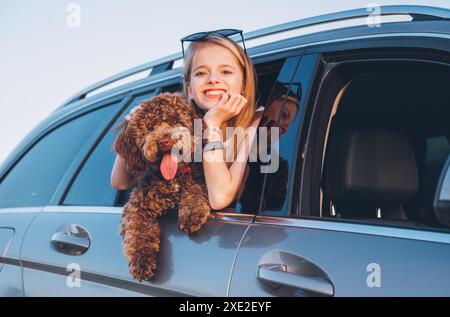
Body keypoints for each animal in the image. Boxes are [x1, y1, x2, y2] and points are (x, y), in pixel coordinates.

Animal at [112, 91, 211, 278]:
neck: (175, 178)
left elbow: (197, 188)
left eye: (175, 120)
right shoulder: (137, 205)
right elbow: (136, 229)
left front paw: (192, 214)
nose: (164, 141)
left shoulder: (201, 178)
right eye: (150, 127)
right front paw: (141, 260)